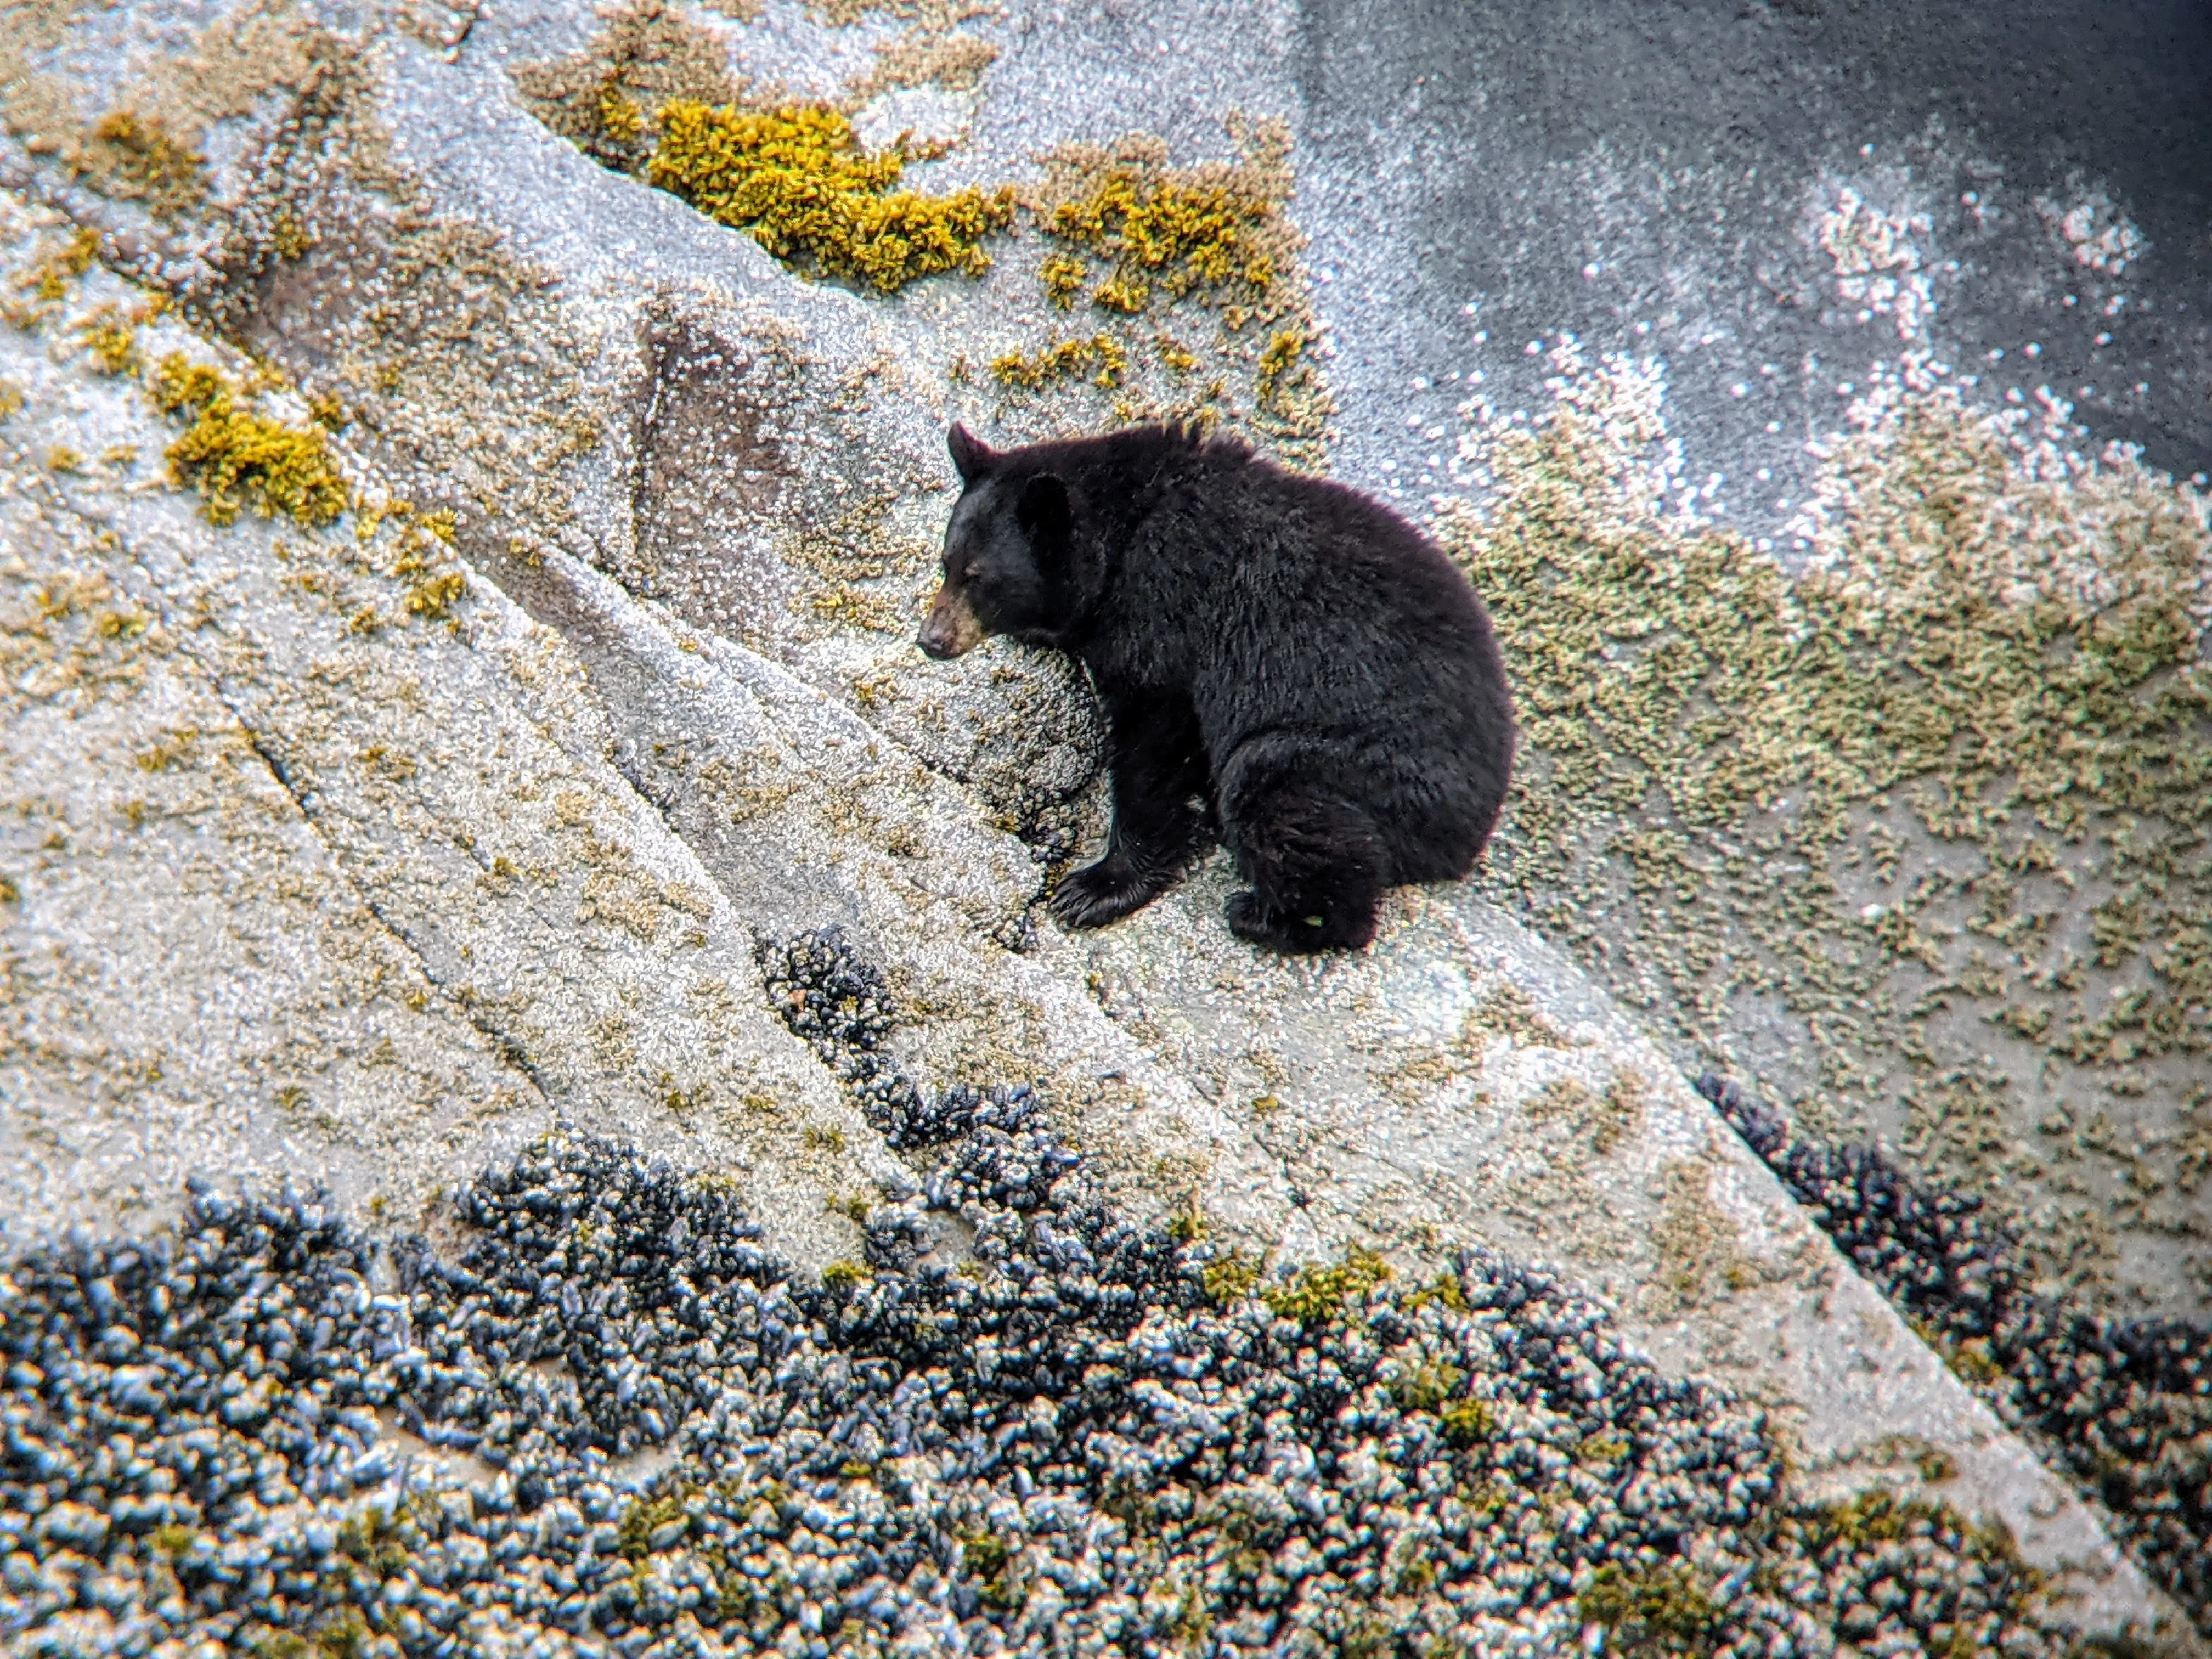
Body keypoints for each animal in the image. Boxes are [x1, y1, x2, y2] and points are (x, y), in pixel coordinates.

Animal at [917, 421, 1516, 953]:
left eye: (979, 577)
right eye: (946, 562)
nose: (931, 639)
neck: (1126, 530)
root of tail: (1478, 830)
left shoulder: (1167, 610)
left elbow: (1154, 744)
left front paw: (1097, 886)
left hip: (1382, 776)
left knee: (1273, 787)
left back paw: (1272, 918)